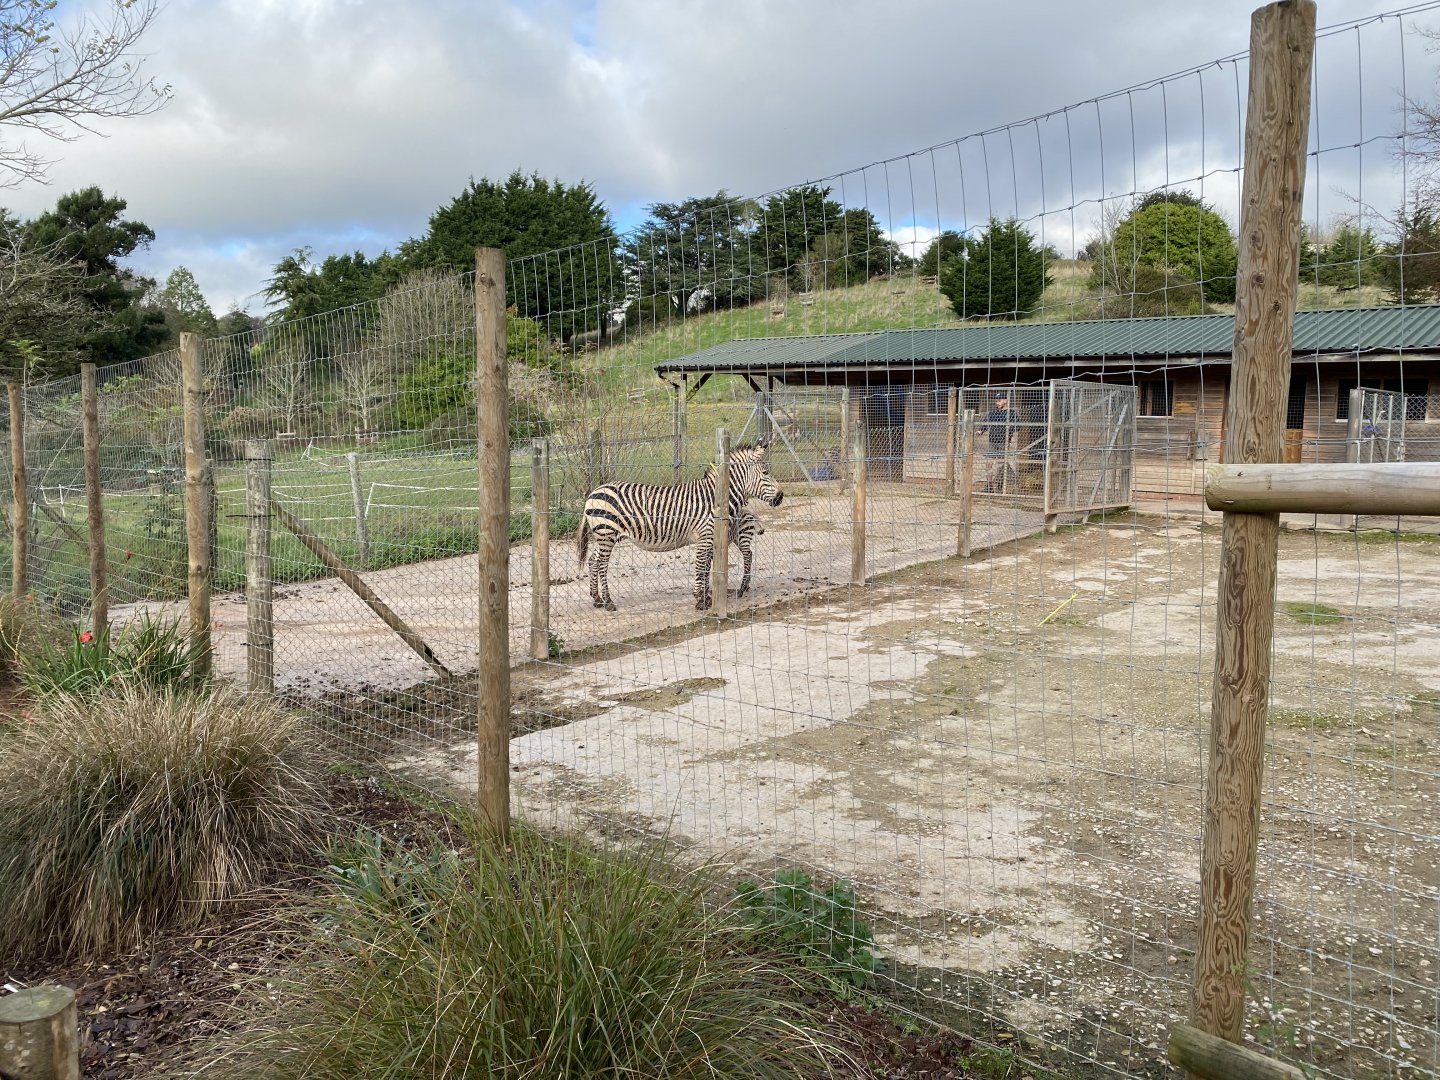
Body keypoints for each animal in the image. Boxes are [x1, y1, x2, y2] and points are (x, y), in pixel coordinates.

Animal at [577, 441, 784, 611]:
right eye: (766, 473)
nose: (781, 497)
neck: (715, 498)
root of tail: (594, 492)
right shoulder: (704, 536)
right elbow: (701, 565)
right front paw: (700, 601)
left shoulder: (709, 537)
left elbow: (706, 566)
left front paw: (706, 598)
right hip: (607, 532)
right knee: (602, 564)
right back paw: (608, 602)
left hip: (606, 535)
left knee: (593, 560)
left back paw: (597, 599)